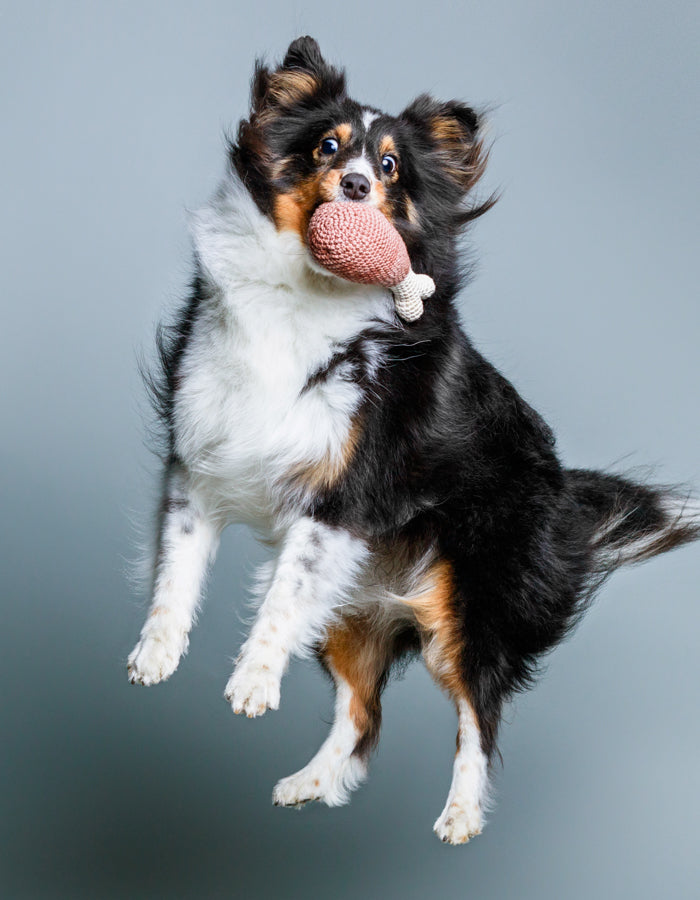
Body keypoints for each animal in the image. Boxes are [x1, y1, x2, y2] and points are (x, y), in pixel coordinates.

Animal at [127, 37, 700, 844]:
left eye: (393, 166)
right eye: (327, 147)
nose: (357, 185)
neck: (306, 292)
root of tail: (564, 497)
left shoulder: (341, 498)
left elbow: (279, 601)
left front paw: (252, 679)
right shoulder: (202, 460)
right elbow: (176, 569)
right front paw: (156, 652)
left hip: (467, 616)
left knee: (477, 718)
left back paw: (459, 816)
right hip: (349, 611)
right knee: (363, 715)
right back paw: (310, 784)